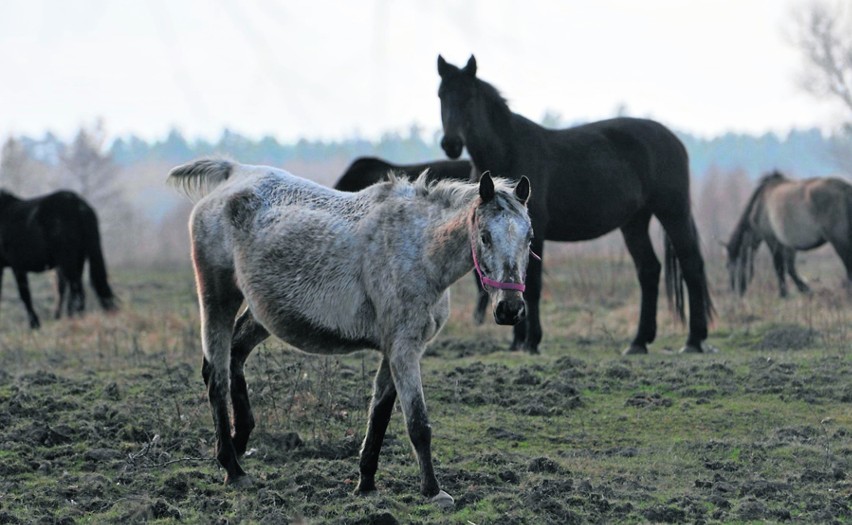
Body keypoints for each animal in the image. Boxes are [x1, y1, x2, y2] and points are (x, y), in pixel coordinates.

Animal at [0, 188, 116, 328]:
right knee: (75, 291)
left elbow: (24, 294)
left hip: (68, 260)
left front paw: (34, 324)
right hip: (78, 259)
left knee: (77, 293)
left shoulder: (17, 266)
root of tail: (79, 205)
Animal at [168, 159, 532, 504]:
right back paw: (232, 467)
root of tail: (234, 172)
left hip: (261, 314)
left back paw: (240, 441)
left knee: (235, 358)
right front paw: (433, 491)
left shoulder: (395, 349)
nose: (510, 308)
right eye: (484, 236)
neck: (418, 247)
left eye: (529, 238)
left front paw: (366, 483)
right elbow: (418, 424)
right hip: (218, 298)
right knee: (216, 377)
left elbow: (379, 415)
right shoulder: (404, 349)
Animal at [436, 55, 716, 354]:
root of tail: (674, 140)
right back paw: (639, 342)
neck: (508, 150)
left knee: (691, 265)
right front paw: (517, 340)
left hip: (672, 212)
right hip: (634, 222)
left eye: (469, 96)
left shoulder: (535, 231)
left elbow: (532, 285)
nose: (451, 144)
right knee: (649, 270)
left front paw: (532, 342)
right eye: (441, 95)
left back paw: (693, 340)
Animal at [724, 171, 852, 296]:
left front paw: (784, 294)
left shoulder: (772, 240)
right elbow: (790, 268)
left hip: (840, 241)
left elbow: (779, 266)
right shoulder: (789, 245)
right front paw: (804, 289)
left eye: (730, 266)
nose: (736, 292)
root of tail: (846, 189)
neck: (760, 205)